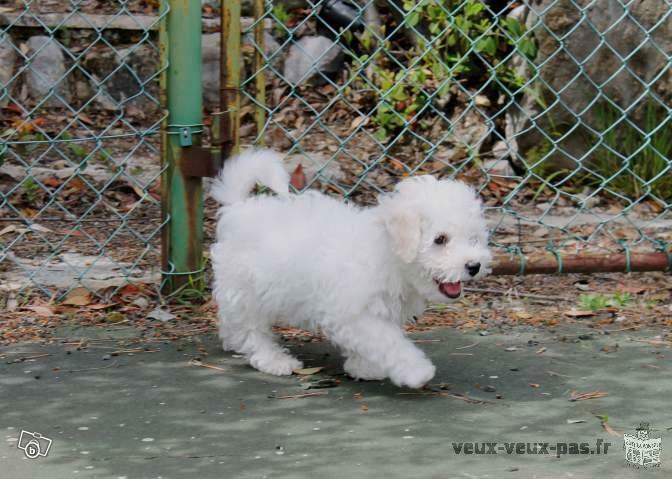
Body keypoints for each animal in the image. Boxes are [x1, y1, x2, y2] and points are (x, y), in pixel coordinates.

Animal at [213, 150, 490, 390]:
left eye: (473, 238)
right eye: (440, 240)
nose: (474, 266)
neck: (387, 253)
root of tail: (238, 207)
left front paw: (365, 367)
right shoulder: (355, 313)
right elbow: (388, 341)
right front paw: (415, 370)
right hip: (247, 289)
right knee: (251, 328)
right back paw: (274, 359)